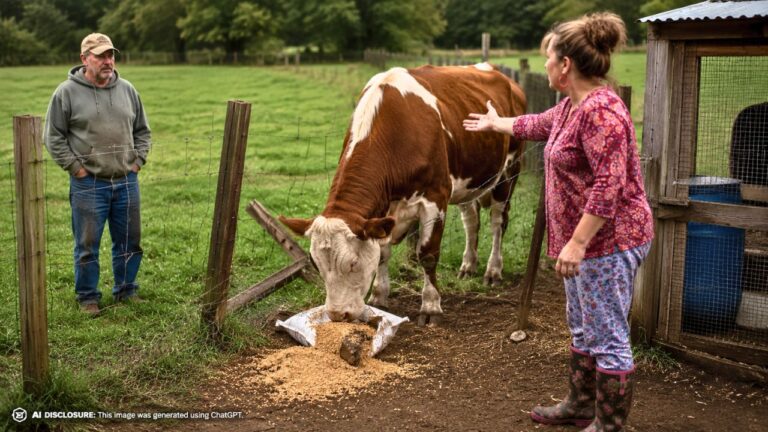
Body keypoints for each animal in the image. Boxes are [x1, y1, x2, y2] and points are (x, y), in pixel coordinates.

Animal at [280, 64, 526, 326]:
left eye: (353, 263)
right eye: (316, 264)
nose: (338, 315)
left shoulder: (435, 197)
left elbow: (427, 254)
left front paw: (431, 307)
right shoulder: (383, 211)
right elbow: (382, 253)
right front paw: (379, 296)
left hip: (510, 170)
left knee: (498, 223)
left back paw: (493, 271)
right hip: (468, 180)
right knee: (471, 221)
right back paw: (468, 266)